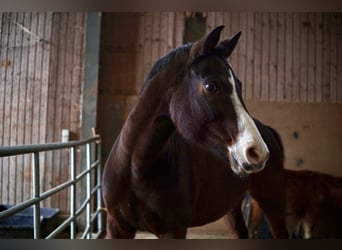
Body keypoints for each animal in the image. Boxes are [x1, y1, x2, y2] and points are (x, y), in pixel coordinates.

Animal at [102, 26, 288, 239]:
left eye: (239, 86)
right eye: (211, 86)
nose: (257, 152)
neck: (135, 168)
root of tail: (269, 131)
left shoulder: (173, 231)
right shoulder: (117, 227)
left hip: (272, 201)